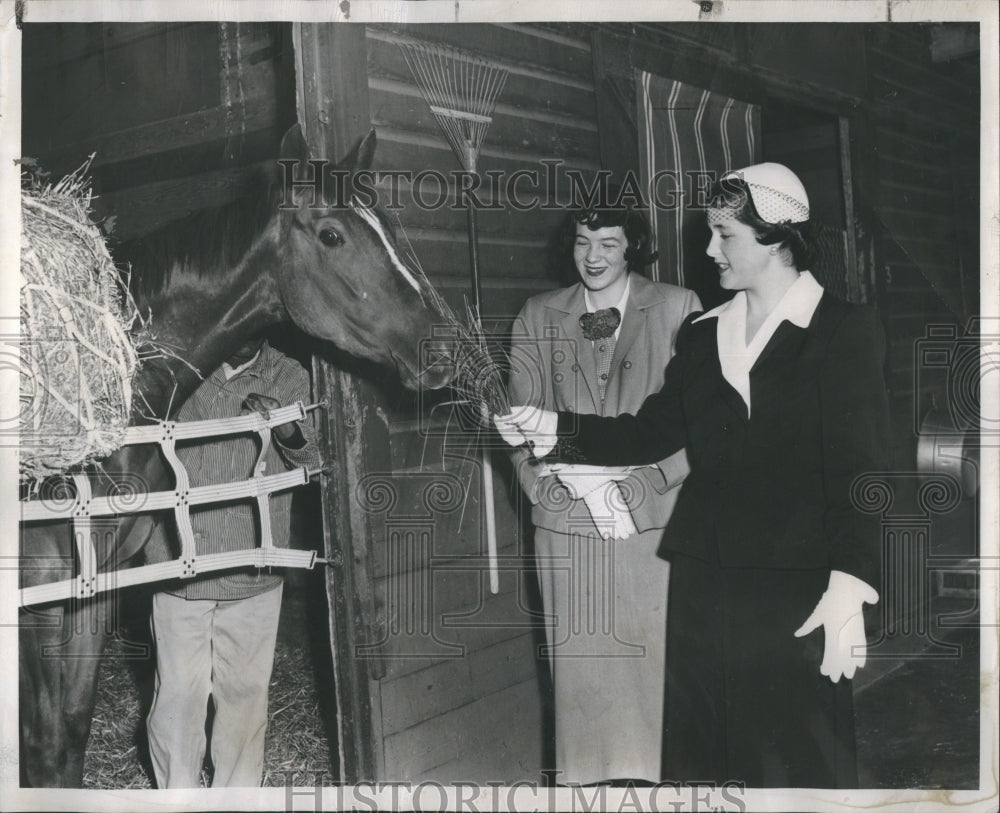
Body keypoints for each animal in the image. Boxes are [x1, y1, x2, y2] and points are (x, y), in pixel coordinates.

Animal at [18, 125, 454, 788]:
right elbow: (44, 742)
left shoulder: (94, 588)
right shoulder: (37, 591)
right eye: (332, 234)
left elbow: (70, 730)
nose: (443, 350)